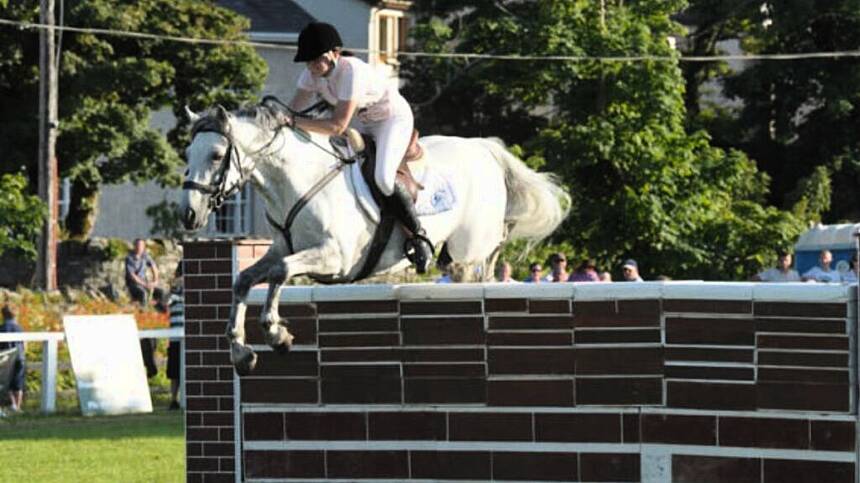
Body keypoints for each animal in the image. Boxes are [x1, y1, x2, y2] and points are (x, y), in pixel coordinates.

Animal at [181, 104, 568, 374]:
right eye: (187, 155)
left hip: (467, 252)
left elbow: (280, 273)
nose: (189, 215)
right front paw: (241, 353)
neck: (297, 182)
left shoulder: (335, 258)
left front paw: (276, 334)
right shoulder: (281, 249)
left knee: (480, 270)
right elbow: (244, 279)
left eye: (216, 155)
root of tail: (485, 149)